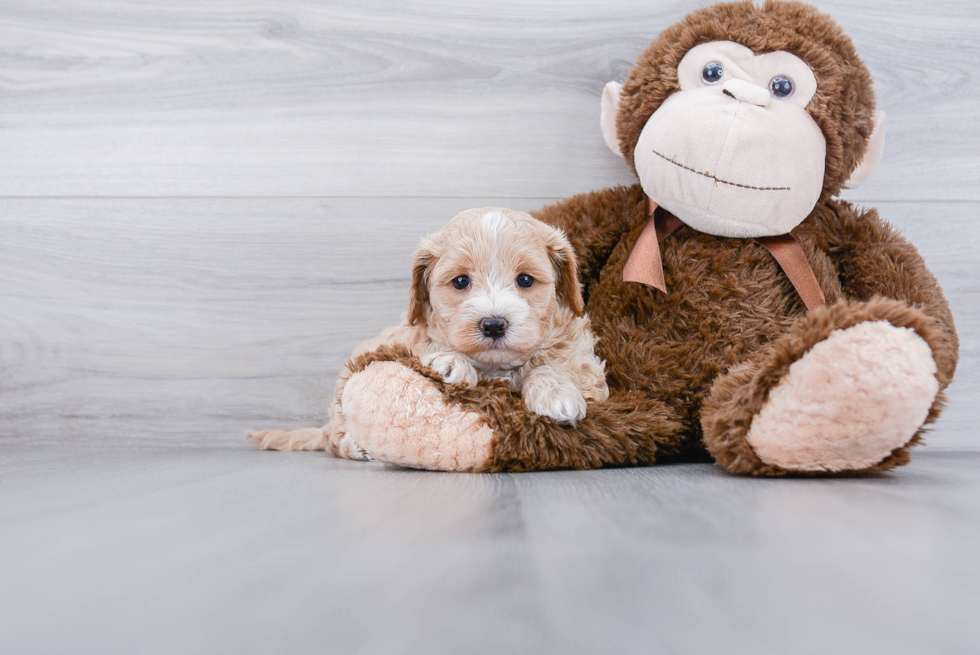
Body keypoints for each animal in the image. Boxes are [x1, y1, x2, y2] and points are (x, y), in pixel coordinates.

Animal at [249, 206, 608, 462]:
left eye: (525, 280)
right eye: (461, 281)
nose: (493, 324)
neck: (496, 367)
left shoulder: (587, 370)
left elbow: (554, 367)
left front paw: (555, 394)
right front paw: (450, 363)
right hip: (342, 395)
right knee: (334, 440)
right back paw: (356, 447)